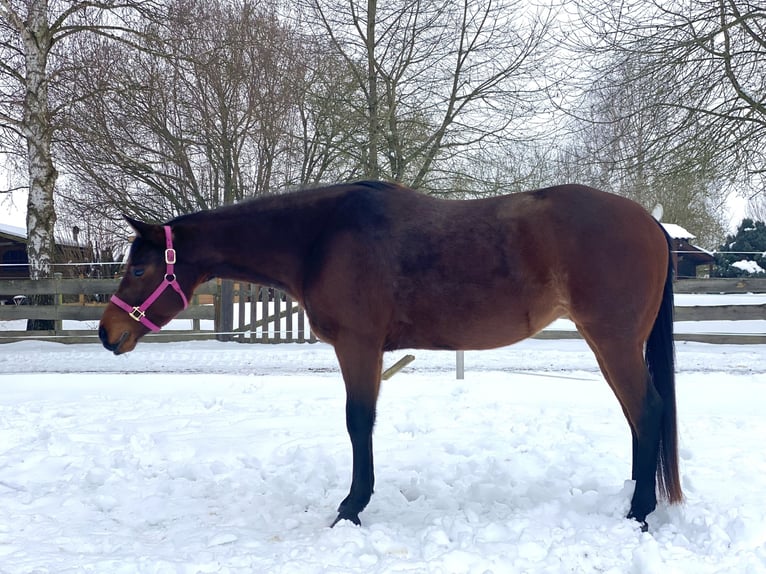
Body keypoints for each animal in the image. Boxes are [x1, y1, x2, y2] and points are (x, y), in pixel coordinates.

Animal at [98, 180, 683, 530]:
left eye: (138, 269)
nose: (107, 333)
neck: (319, 238)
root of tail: (650, 223)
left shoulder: (358, 346)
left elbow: (359, 422)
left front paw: (351, 508)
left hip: (612, 340)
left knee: (647, 410)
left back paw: (638, 512)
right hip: (610, 344)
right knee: (638, 416)